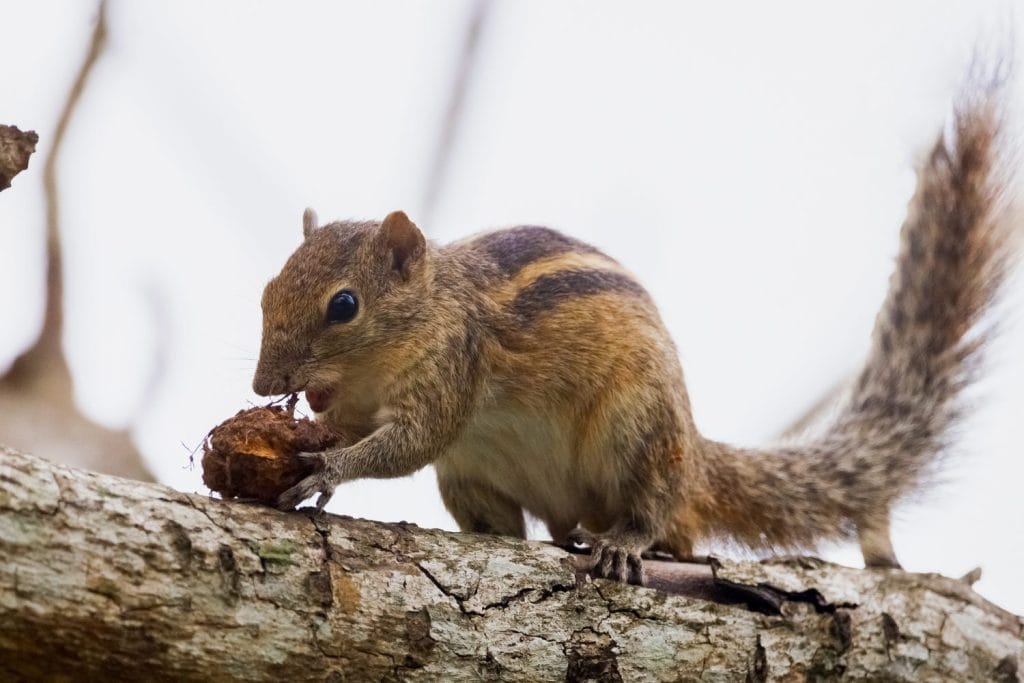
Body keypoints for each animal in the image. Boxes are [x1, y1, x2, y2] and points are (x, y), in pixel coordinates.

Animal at [252, 92, 1018, 585]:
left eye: (344, 305)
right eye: (266, 291)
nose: (263, 384)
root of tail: (694, 456)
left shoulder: (454, 366)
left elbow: (410, 441)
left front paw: (329, 468)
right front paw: (311, 434)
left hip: (637, 431)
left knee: (657, 512)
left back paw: (624, 540)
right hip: (472, 479)